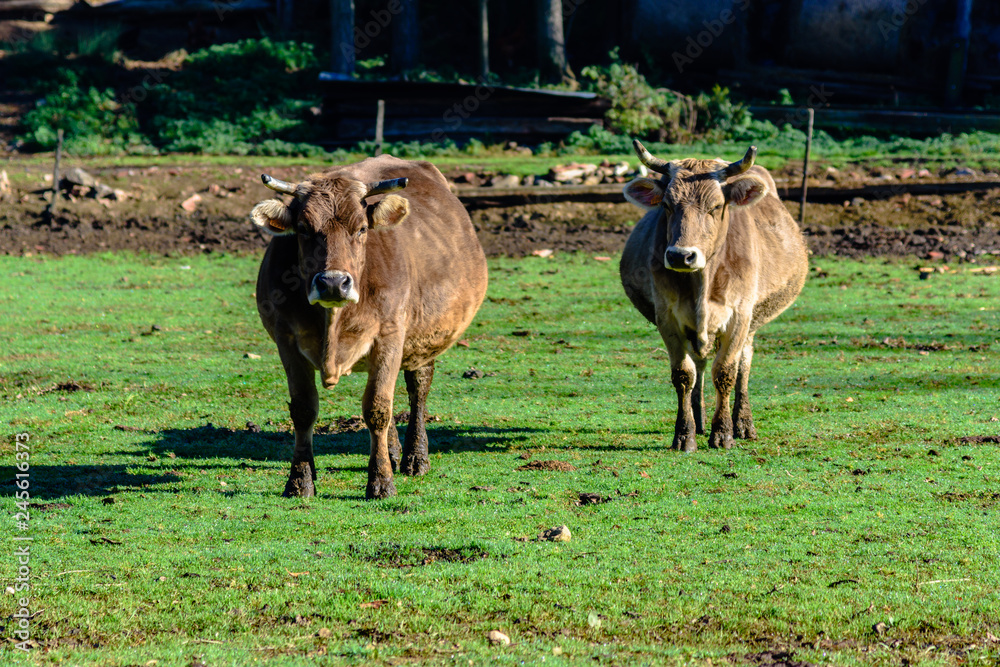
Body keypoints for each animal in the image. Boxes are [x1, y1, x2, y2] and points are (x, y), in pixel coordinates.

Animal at [250, 155, 488, 499]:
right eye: (304, 230)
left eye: (361, 228)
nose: (333, 283)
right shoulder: (287, 341)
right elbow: (304, 409)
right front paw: (300, 480)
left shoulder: (389, 337)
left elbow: (378, 409)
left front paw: (381, 482)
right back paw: (392, 452)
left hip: (422, 339)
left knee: (418, 388)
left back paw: (415, 457)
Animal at [619, 140, 808, 452]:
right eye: (667, 206)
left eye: (716, 206)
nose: (681, 255)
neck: (702, 284)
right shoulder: (667, 317)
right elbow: (684, 374)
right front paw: (685, 434)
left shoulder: (740, 316)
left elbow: (726, 372)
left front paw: (723, 433)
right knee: (700, 365)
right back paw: (699, 419)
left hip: (751, 323)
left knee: (743, 364)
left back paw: (742, 423)